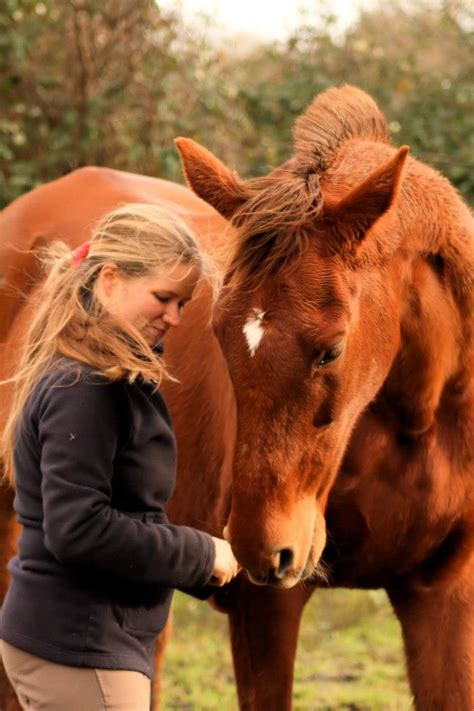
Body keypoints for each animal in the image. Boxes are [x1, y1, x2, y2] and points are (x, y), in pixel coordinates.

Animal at [0, 85, 474, 711]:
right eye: (219, 333)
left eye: (331, 350)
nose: (260, 548)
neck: (416, 424)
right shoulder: (266, 608)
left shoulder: (443, 596)